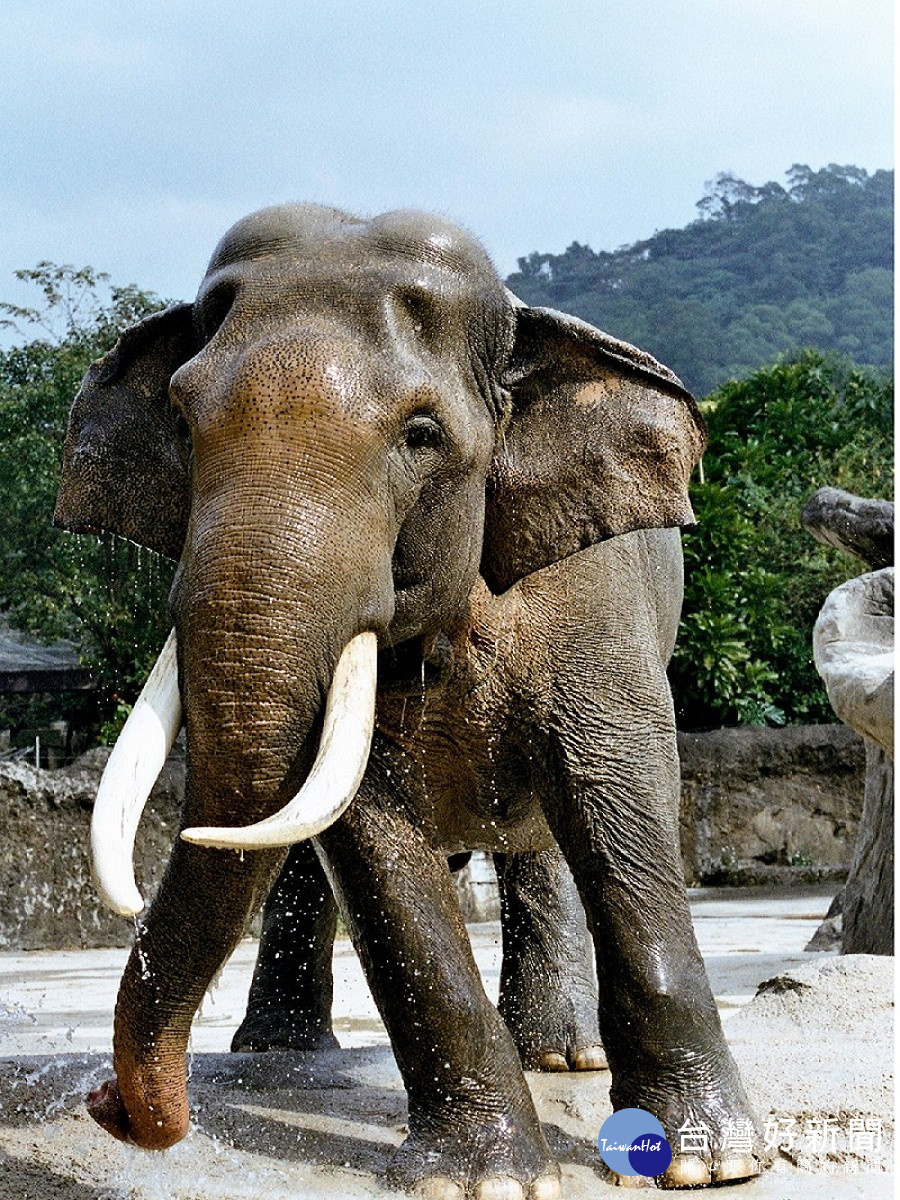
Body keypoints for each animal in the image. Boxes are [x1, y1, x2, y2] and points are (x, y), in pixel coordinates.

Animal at [52, 201, 763, 1195]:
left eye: (421, 434)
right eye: (185, 423)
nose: (107, 1106)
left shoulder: (594, 598)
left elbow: (618, 797)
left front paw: (712, 1161)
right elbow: (370, 836)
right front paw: (482, 1178)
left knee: (543, 843)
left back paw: (561, 1054)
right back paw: (278, 1051)